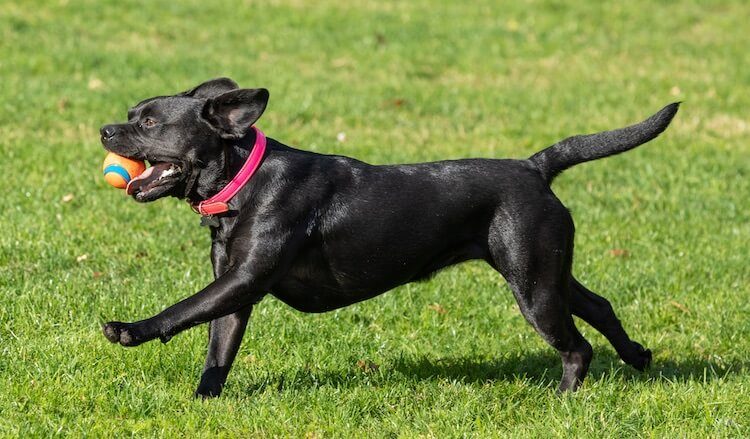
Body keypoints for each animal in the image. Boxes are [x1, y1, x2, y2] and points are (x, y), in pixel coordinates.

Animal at [100, 79, 680, 398]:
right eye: (129, 116)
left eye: (148, 123)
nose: (105, 130)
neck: (244, 178)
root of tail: (534, 167)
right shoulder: (236, 292)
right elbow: (216, 354)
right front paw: (204, 404)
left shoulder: (245, 280)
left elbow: (182, 309)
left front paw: (129, 329)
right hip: (546, 271)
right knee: (600, 306)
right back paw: (638, 358)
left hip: (533, 286)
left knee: (576, 347)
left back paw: (562, 399)